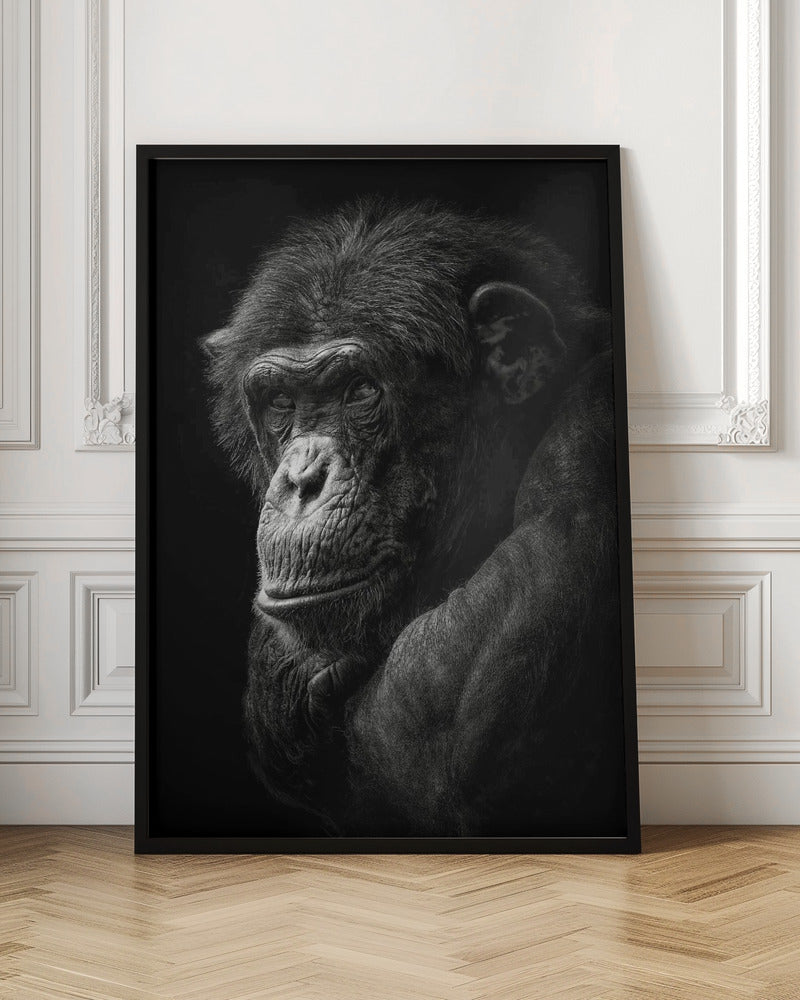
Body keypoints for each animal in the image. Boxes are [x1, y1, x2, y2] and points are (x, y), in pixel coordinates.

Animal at [202, 198, 627, 837]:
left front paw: (283, 673)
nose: (302, 479)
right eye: (280, 403)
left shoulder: (588, 446)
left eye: (358, 391)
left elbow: (438, 738)